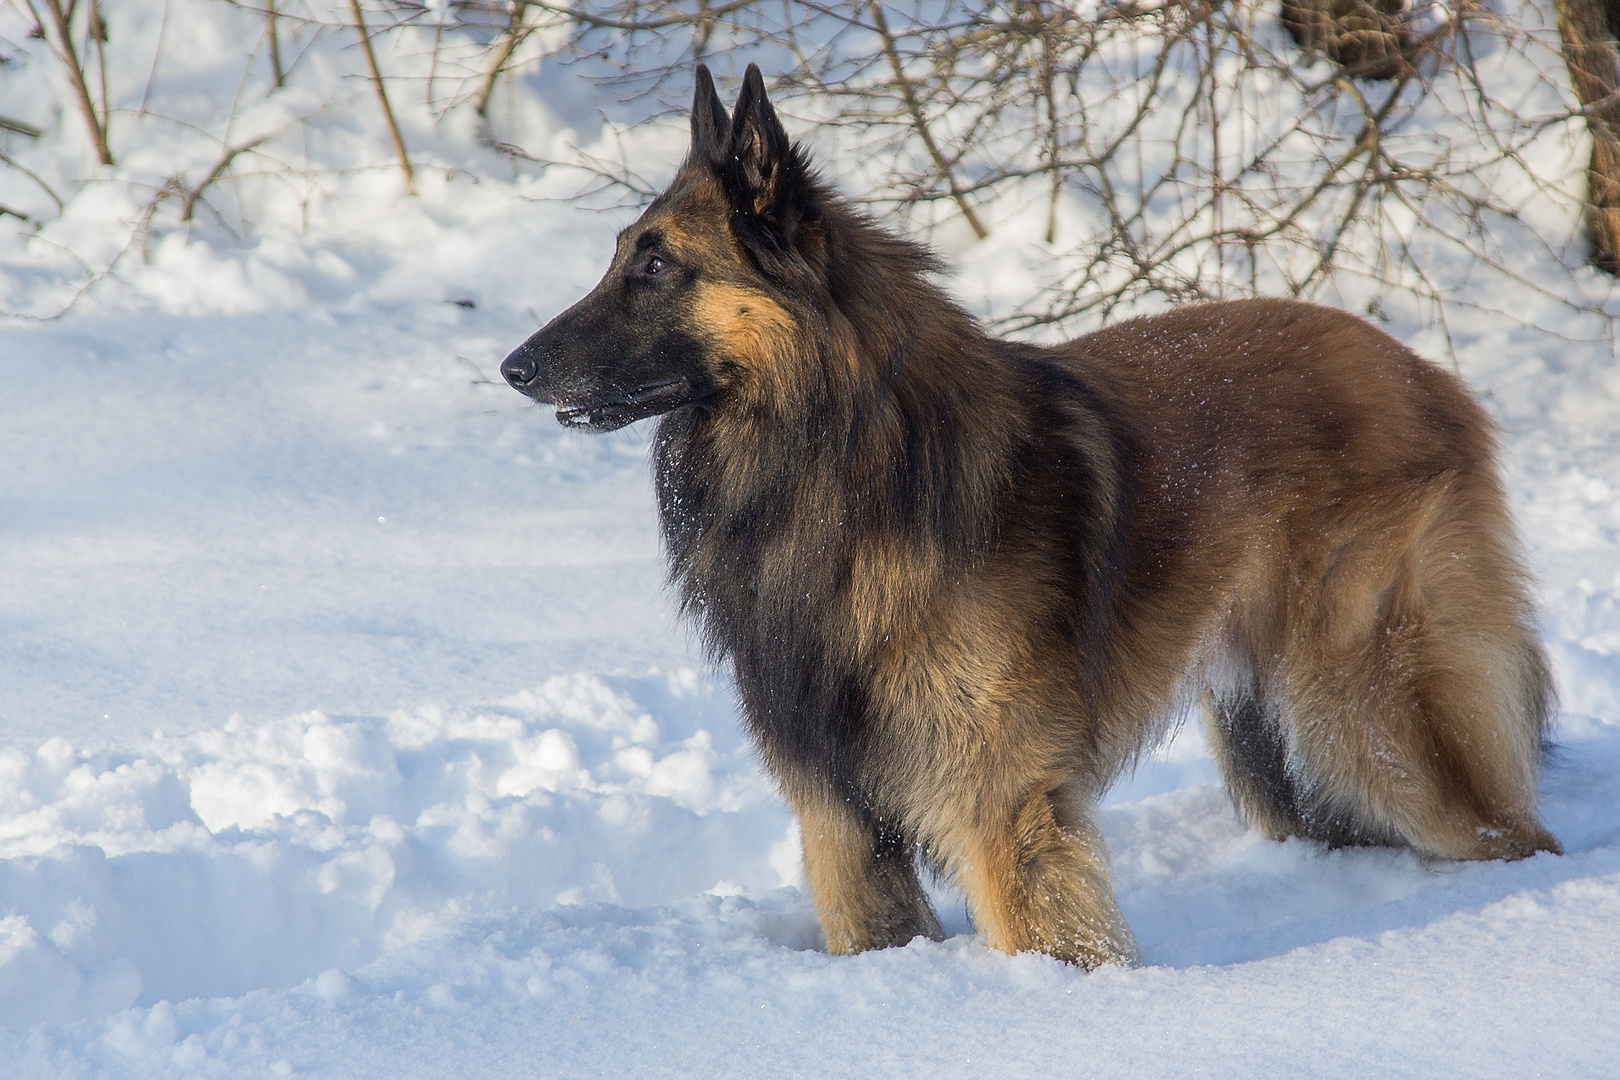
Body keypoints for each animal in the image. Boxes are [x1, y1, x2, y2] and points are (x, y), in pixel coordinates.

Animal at [498, 63, 1561, 965]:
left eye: (655, 267)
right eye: (621, 259)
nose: (513, 367)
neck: (836, 467)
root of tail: (1426, 372)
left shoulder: (1003, 810)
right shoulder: (841, 822)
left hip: (1365, 709)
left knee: (1513, 834)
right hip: (1269, 726)